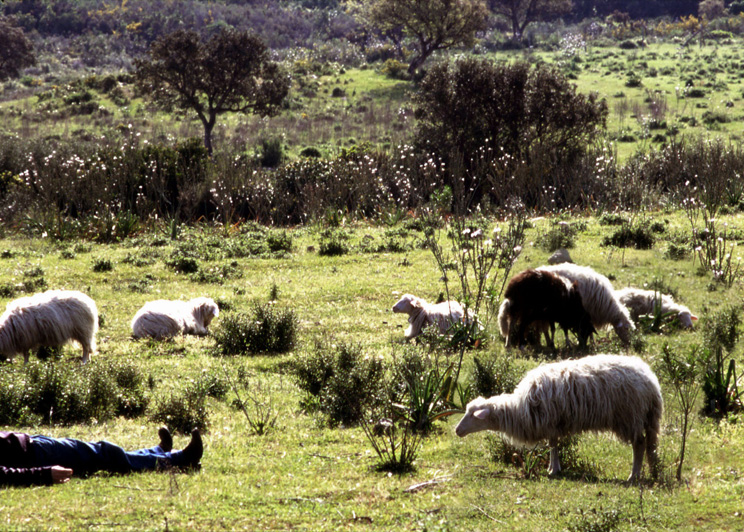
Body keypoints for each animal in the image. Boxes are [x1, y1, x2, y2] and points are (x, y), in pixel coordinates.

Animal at [454, 354, 664, 482]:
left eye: (472, 415)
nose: (457, 430)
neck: (518, 409)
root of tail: (651, 380)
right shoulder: (551, 425)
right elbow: (553, 444)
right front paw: (553, 467)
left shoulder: (549, 421)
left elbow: (552, 446)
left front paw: (553, 470)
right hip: (646, 418)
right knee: (649, 446)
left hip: (630, 417)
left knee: (639, 444)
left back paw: (633, 475)